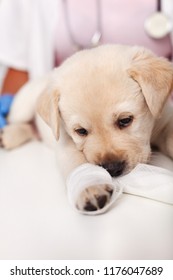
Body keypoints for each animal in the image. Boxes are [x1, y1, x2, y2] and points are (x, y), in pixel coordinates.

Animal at [1, 44, 173, 210]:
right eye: (81, 131)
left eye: (125, 120)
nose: (112, 168)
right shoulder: (66, 142)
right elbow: (79, 163)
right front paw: (90, 188)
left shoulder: (164, 119)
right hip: (22, 107)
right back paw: (8, 135)